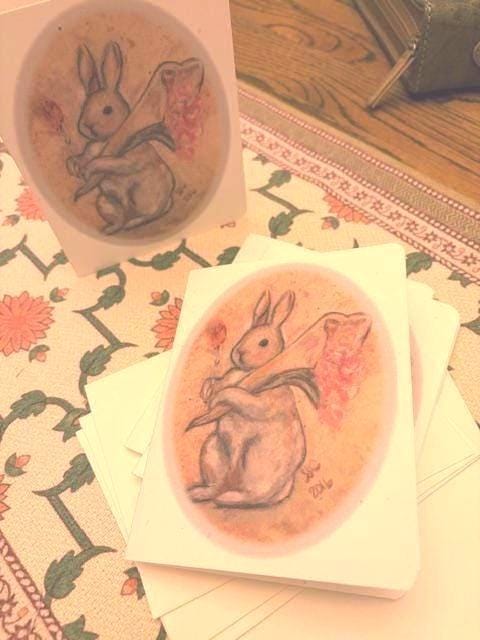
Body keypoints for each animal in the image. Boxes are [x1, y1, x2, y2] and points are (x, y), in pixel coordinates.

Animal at [66, 41, 175, 235]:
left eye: (107, 110)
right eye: (84, 106)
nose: (87, 126)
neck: (105, 139)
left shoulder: (129, 158)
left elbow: (110, 162)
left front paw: (87, 170)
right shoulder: (90, 150)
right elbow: (83, 157)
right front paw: (74, 166)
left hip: (145, 196)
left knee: (145, 216)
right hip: (105, 202)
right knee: (121, 220)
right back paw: (109, 230)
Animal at [188, 290, 310, 509]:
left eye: (263, 342)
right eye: (245, 335)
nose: (237, 353)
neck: (247, 372)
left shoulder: (265, 400)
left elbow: (238, 395)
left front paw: (216, 398)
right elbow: (217, 382)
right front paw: (206, 391)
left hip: (252, 457)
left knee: (239, 492)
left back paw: (211, 497)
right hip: (213, 448)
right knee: (221, 484)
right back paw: (200, 493)